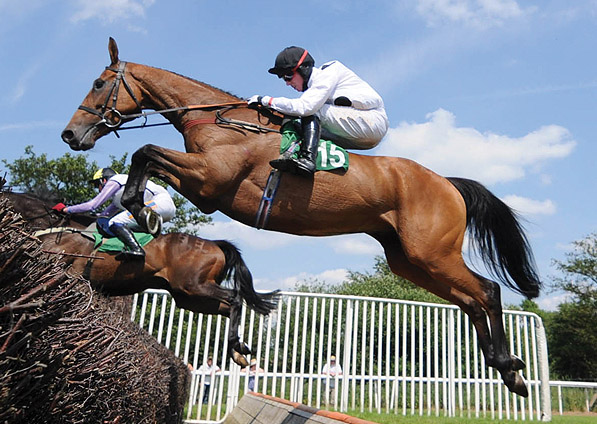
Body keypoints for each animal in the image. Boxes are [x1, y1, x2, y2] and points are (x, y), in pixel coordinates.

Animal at [2, 190, 278, 366]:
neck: (59, 230)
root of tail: (215, 244)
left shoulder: (71, 273)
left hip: (194, 286)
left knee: (235, 298)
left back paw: (236, 346)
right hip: (189, 297)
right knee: (226, 307)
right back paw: (238, 350)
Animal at [60, 39, 540, 398]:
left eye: (99, 83)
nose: (70, 134)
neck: (220, 121)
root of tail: (447, 183)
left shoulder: (210, 180)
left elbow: (144, 152)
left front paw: (138, 208)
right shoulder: (202, 184)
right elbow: (146, 159)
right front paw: (137, 207)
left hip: (432, 252)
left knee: (488, 291)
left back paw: (507, 365)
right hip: (411, 261)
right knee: (470, 300)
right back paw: (507, 369)